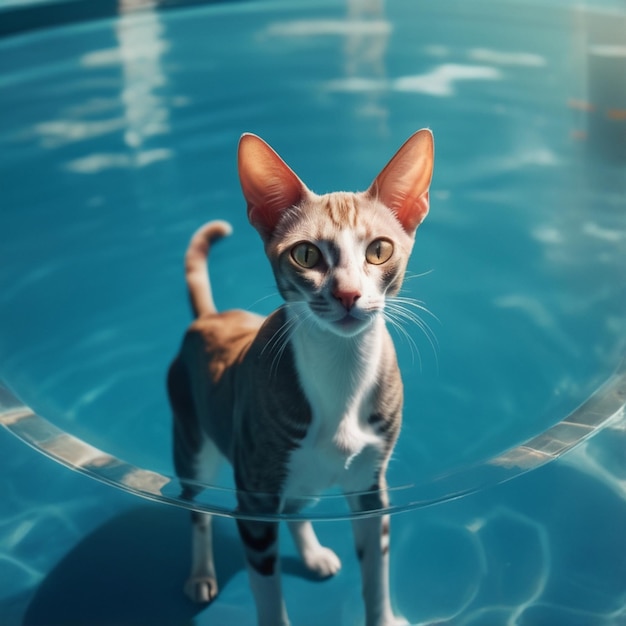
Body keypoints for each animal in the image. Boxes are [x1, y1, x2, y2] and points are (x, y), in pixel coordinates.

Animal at [168, 128, 436, 624]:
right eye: (306, 254)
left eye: (379, 250)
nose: (348, 294)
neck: (342, 371)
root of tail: (212, 317)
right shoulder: (254, 500)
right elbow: (268, 594)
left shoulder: (372, 489)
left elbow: (376, 577)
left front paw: (382, 615)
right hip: (193, 441)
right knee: (197, 508)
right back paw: (200, 574)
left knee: (295, 505)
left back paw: (312, 554)